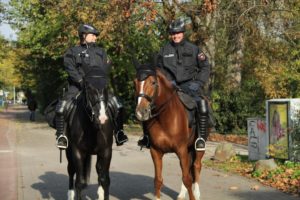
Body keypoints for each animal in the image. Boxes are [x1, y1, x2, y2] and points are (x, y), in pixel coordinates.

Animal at [135, 64, 207, 200]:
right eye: (134, 82)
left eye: (153, 82)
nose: (141, 112)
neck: (165, 117)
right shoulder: (156, 151)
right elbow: (158, 180)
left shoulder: (181, 149)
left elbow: (187, 179)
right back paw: (181, 194)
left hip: (198, 147)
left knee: (196, 166)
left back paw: (197, 193)